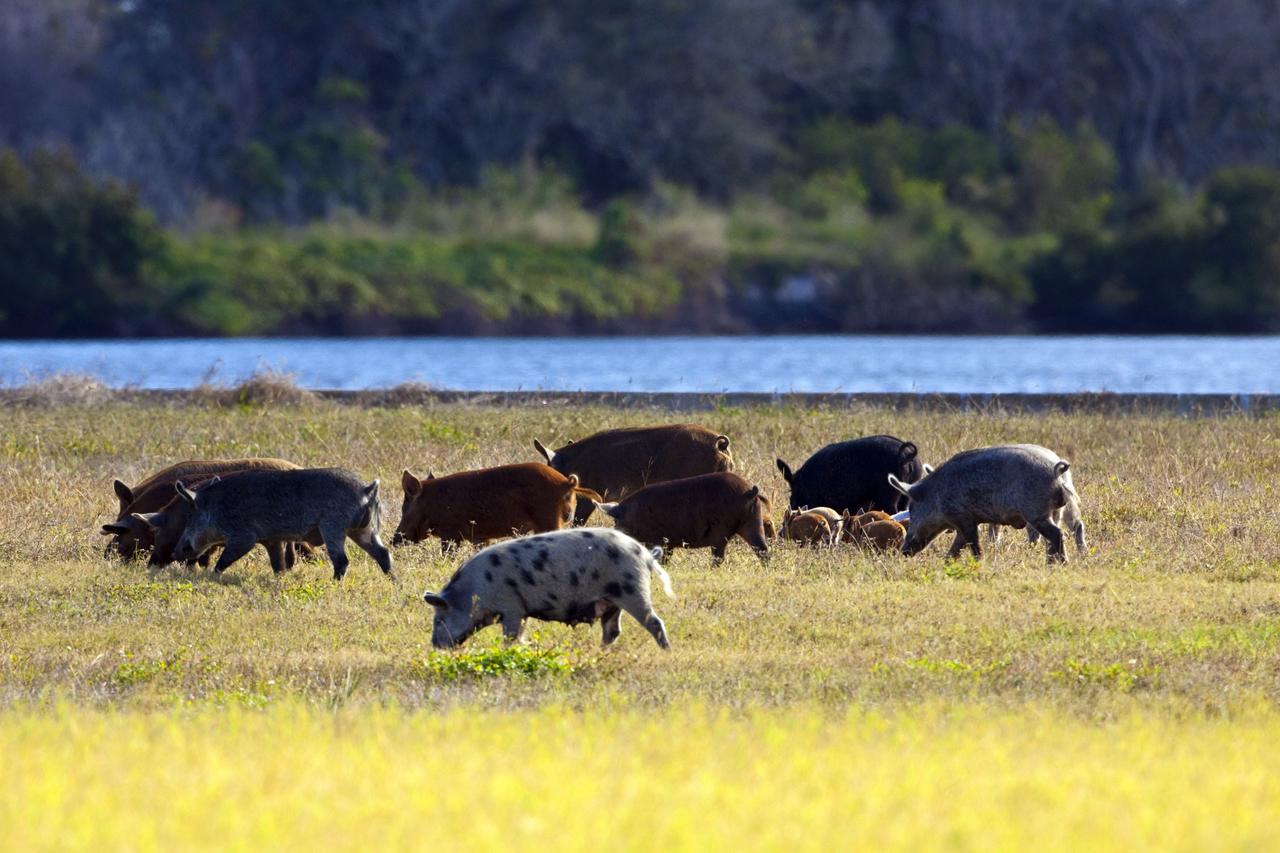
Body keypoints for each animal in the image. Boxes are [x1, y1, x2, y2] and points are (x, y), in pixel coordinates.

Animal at [172, 467, 392, 580]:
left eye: (190, 515)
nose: (175, 553)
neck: (217, 508)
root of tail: (366, 489)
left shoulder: (243, 536)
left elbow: (224, 560)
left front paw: (212, 576)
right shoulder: (271, 540)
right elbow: (277, 563)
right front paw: (281, 576)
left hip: (333, 526)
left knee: (342, 560)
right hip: (363, 530)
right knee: (383, 553)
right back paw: (394, 583)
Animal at [394, 463, 604, 547]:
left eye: (405, 509)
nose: (394, 540)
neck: (432, 503)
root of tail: (567, 483)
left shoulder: (450, 534)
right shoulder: (479, 536)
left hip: (549, 519)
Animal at [423, 528, 674, 649]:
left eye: (439, 620)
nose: (435, 645)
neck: (475, 590)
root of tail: (645, 554)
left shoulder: (512, 606)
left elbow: (511, 636)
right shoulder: (521, 611)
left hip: (632, 590)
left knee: (655, 622)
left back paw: (667, 651)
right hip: (612, 601)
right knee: (612, 631)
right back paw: (598, 653)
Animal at [596, 472, 772, 564]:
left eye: (616, 523)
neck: (632, 515)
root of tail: (750, 491)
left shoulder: (658, 539)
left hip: (722, 528)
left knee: (719, 555)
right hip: (752, 520)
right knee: (762, 548)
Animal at [888, 444, 1085, 563]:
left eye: (912, 509)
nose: (904, 551)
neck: (937, 495)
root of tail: (1056, 471)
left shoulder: (964, 519)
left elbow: (974, 544)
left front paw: (978, 562)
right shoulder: (963, 523)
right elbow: (956, 547)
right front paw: (947, 562)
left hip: (1036, 512)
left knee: (1057, 534)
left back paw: (1062, 563)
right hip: (1055, 511)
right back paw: (1051, 562)